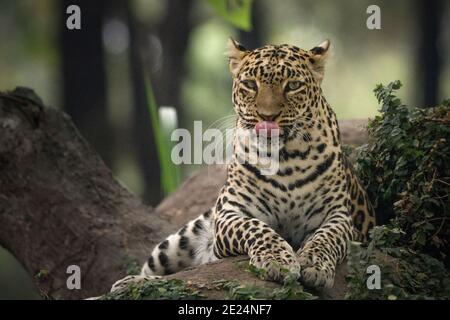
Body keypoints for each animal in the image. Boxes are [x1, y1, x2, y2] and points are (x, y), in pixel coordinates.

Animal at [111, 38, 376, 292]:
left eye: (292, 86)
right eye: (250, 84)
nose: (267, 117)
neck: (285, 160)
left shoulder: (339, 216)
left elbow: (326, 238)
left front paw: (314, 265)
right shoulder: (230, 213)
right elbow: (257, 228)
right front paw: (278, 261)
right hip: (177, 242)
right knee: (159, 272)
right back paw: (128, 283)